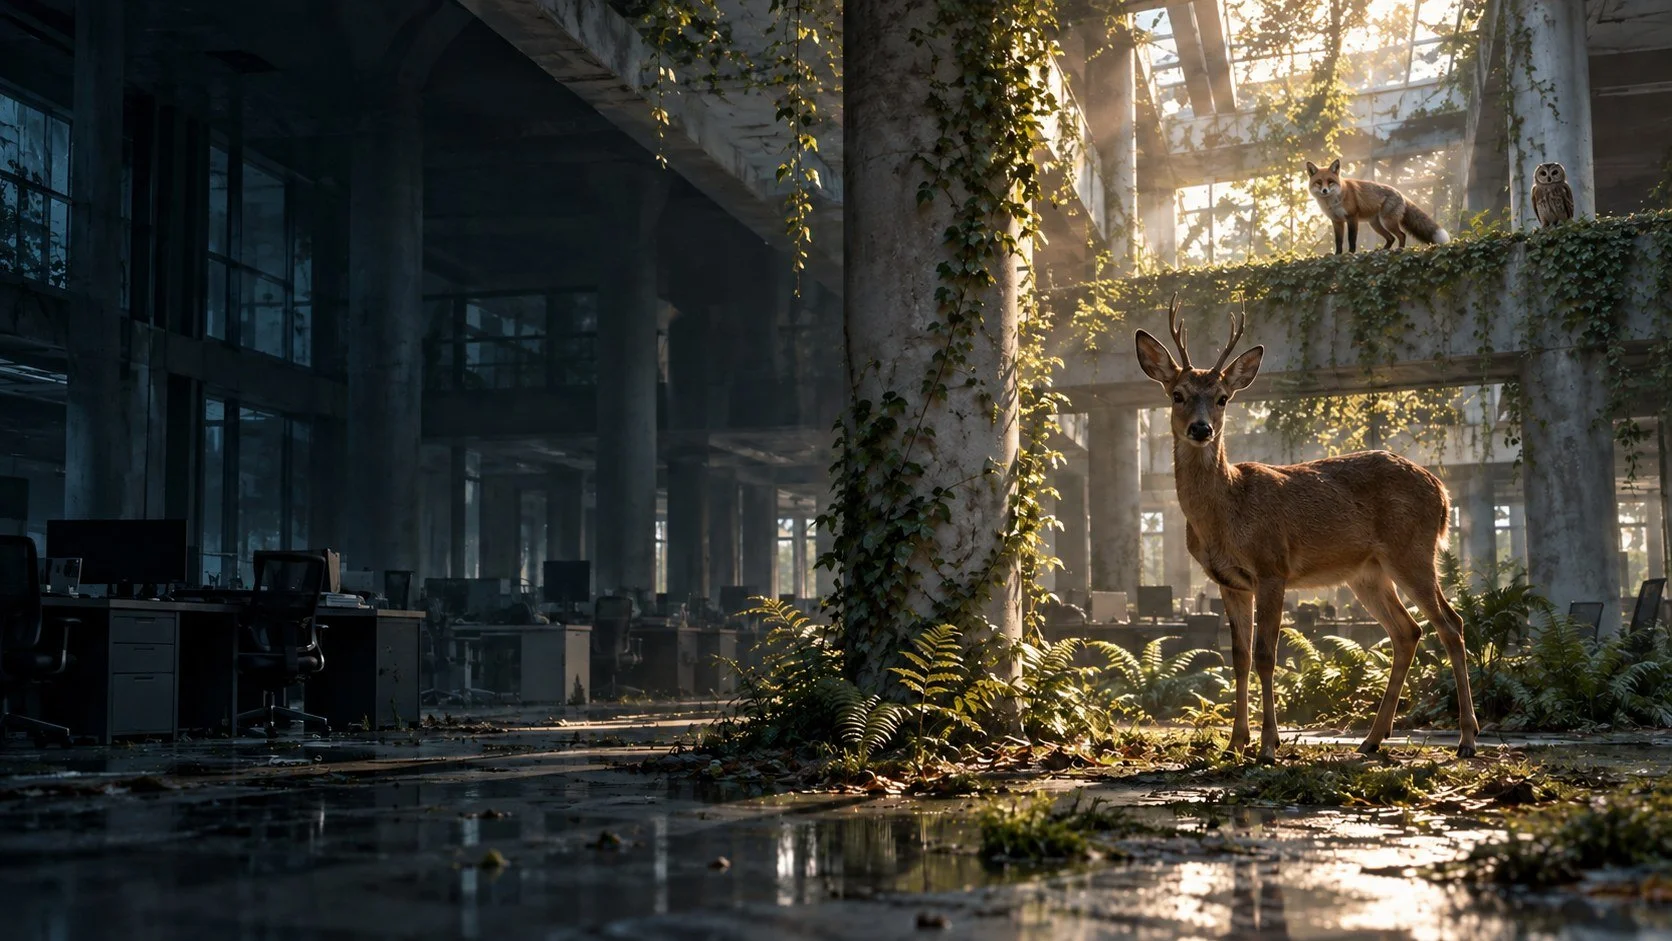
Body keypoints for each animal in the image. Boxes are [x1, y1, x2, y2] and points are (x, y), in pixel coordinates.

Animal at [1305, 159, 1450, 254]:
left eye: (1330, 182)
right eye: (1319, 182)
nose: (1325, 191)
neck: (1334, 201)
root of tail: (1400, 193)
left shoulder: (1352, 217)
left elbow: (1351, 238)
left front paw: (1351, 253)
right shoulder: (1337, 221)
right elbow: (1338, 241)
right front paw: (1338, 255)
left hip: (1387, 222)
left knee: (1401, 235)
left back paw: (1399, 250)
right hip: (1375, 225)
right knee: (1391, 238)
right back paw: (1382, 250)